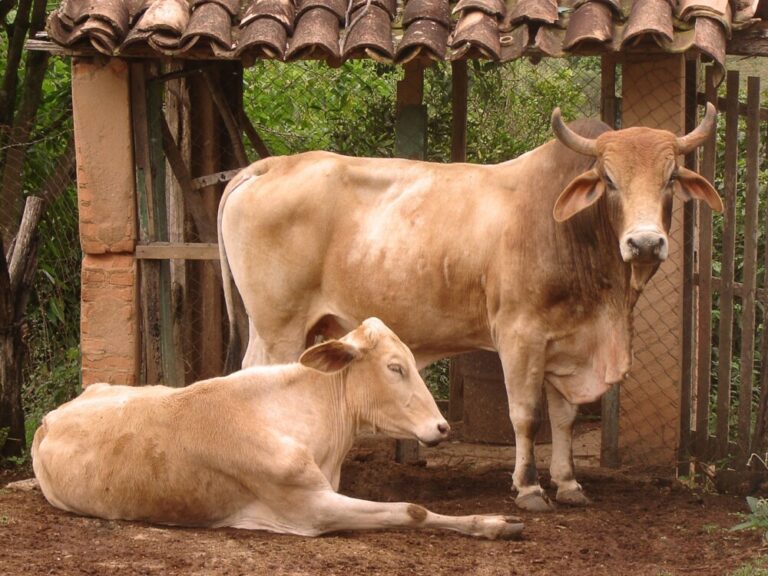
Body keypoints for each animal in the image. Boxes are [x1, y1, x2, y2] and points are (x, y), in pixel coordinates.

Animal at [32, 318, 523, 539]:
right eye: (395, 367)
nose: (442, 426)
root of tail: (49, 418)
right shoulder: (311, 509)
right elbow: (412, 509)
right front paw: (495, 523)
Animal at [217, 104, 723, 512]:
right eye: (610, 181)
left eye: (671, 179)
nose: (645, 243)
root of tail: (270, 165)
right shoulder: (520, 335)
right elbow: (526, 415)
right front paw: (529, 488)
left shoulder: (565, 341)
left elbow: (564, 417)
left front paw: (568, 483)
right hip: (278, 327)